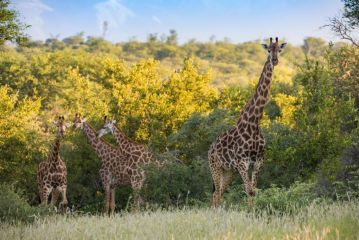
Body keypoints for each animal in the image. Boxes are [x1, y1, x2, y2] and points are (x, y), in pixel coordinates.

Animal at [208, 37, 286, 206]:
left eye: (279, 49)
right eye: (268, 50)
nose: (275, 60)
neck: (254, 123)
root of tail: (209, 149)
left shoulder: (258, 161)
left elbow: (253, 191)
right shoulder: (241, 162)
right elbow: (248, 190)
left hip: (228, 171)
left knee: (220, 192)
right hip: (215, 166)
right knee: (216, 194)